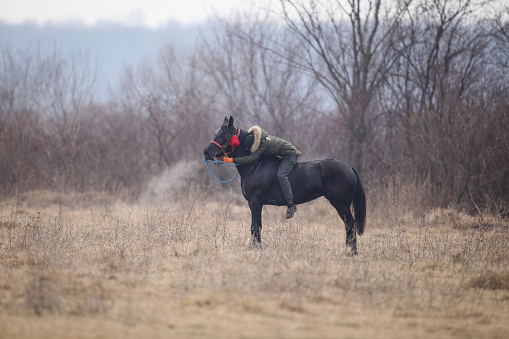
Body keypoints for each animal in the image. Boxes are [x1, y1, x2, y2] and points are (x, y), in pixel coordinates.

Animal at [202, 117, 366, 255]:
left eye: (223, 135)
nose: (206, 152)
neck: (255, 165)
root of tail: (348, 167)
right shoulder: (258, 204)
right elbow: (259, 226)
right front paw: (257, 248)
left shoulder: (255, 202)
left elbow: (254, 226)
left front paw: (252, 249)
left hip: (341, 204)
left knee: (350, 224)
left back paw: (351, 252)